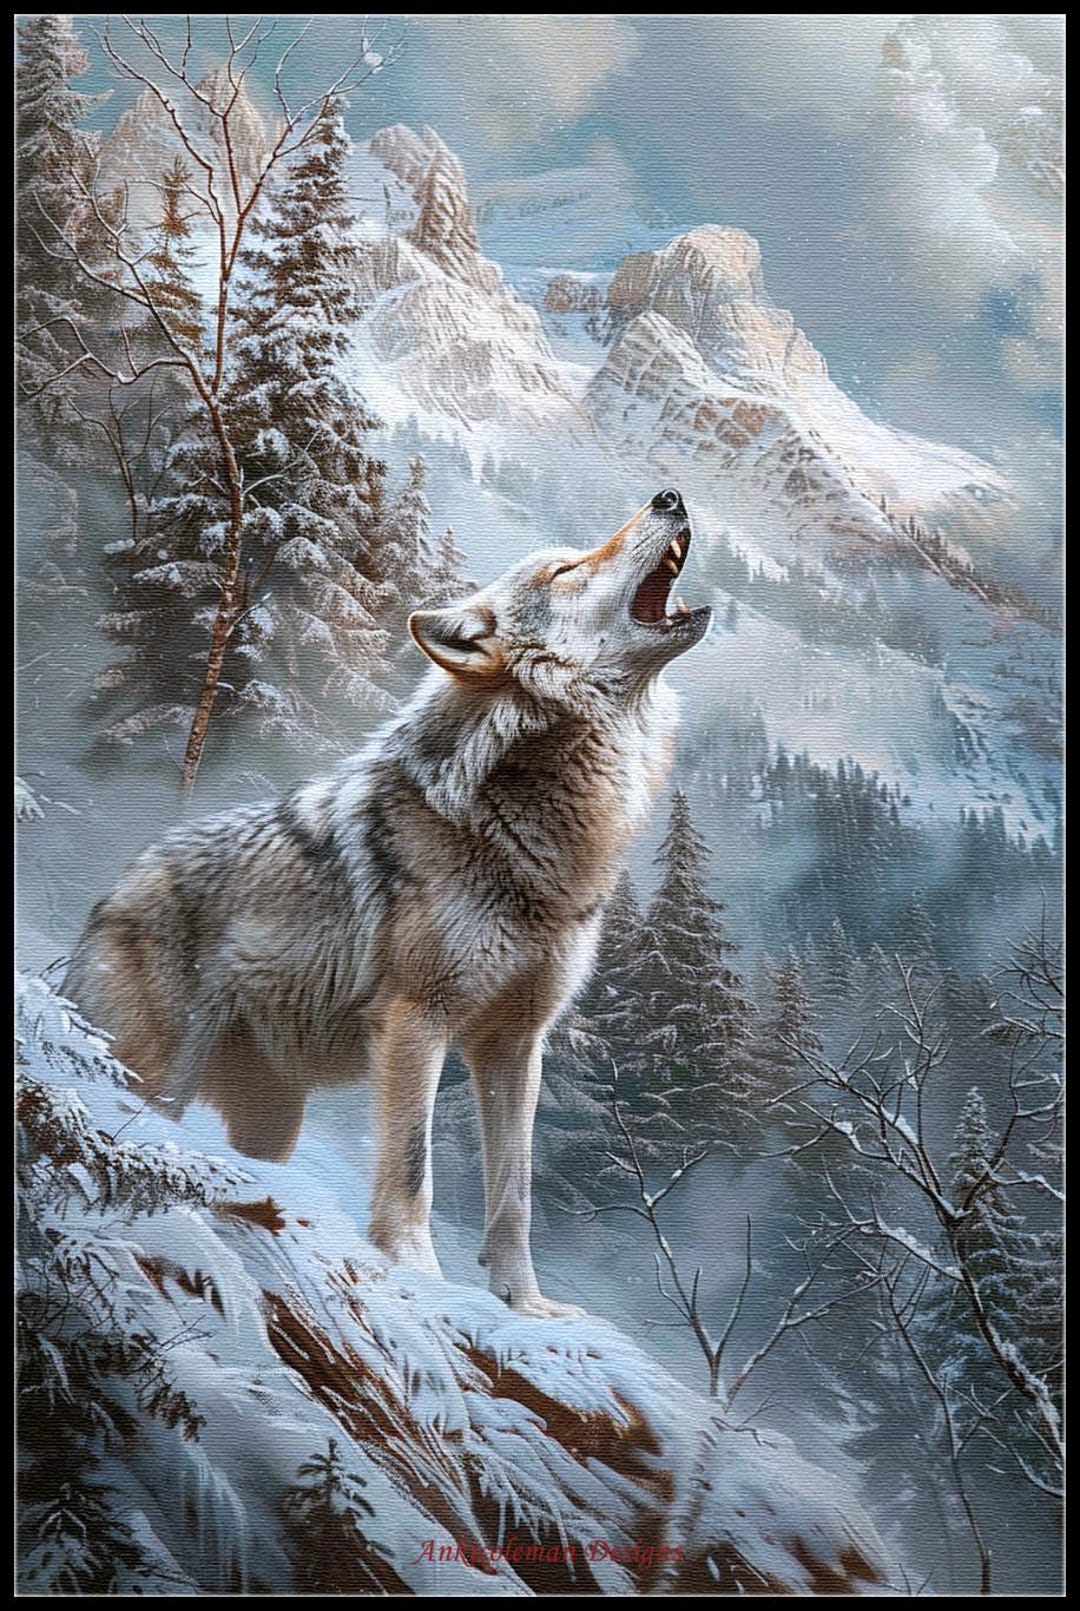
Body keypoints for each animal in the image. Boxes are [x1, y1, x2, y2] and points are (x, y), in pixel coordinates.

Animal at [63, 489, 711, 1317]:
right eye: (566, 570)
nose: (670, 494)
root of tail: (108, 894)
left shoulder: (516, 1043)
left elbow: (516, 1192)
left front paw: (525, 1305)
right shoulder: (415, 1020)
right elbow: (411, 1166)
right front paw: (419, 1275)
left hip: (271, 1123)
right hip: (157, 1077)